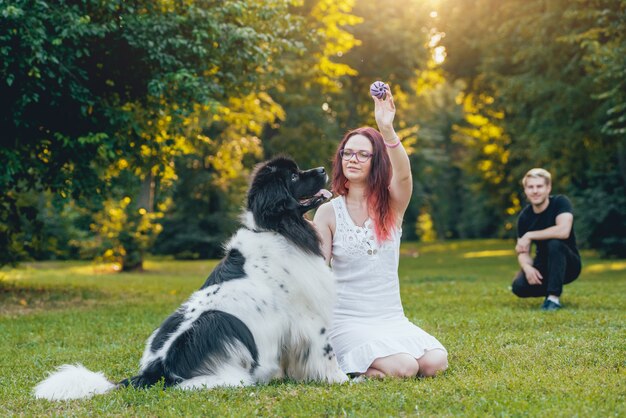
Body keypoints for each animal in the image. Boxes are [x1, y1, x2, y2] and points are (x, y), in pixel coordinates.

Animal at [34, 157, 346, 402]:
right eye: (293, 176)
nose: (322, 168)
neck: (276, 227)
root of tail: (155, 369)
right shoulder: (307, 317)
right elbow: (326, 351)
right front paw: (342, 379)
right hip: (218, 342)